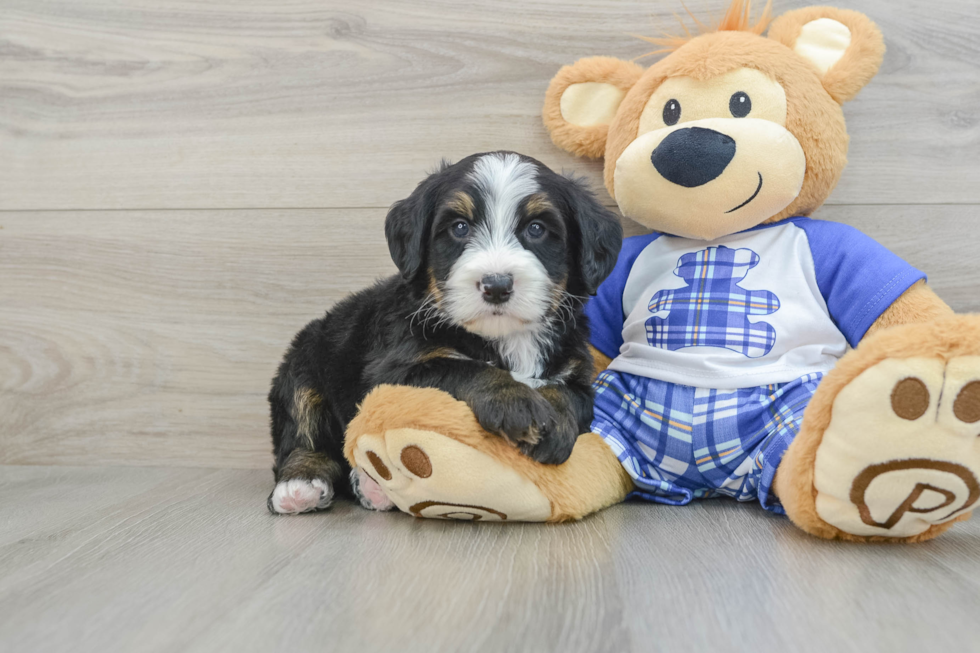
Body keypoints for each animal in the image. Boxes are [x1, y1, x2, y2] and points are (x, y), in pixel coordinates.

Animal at [268, 153, 620, 516]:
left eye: (536, 228)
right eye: (459, 227)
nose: (496, 285)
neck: (507, 339)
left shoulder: (577, 371)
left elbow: (569, 396)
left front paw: (554, 425)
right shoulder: (394, 371)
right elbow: (465, 368)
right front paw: (516, 402)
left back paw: (371, 487)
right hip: (302, 362)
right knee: (301, 431)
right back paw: (302, 484)